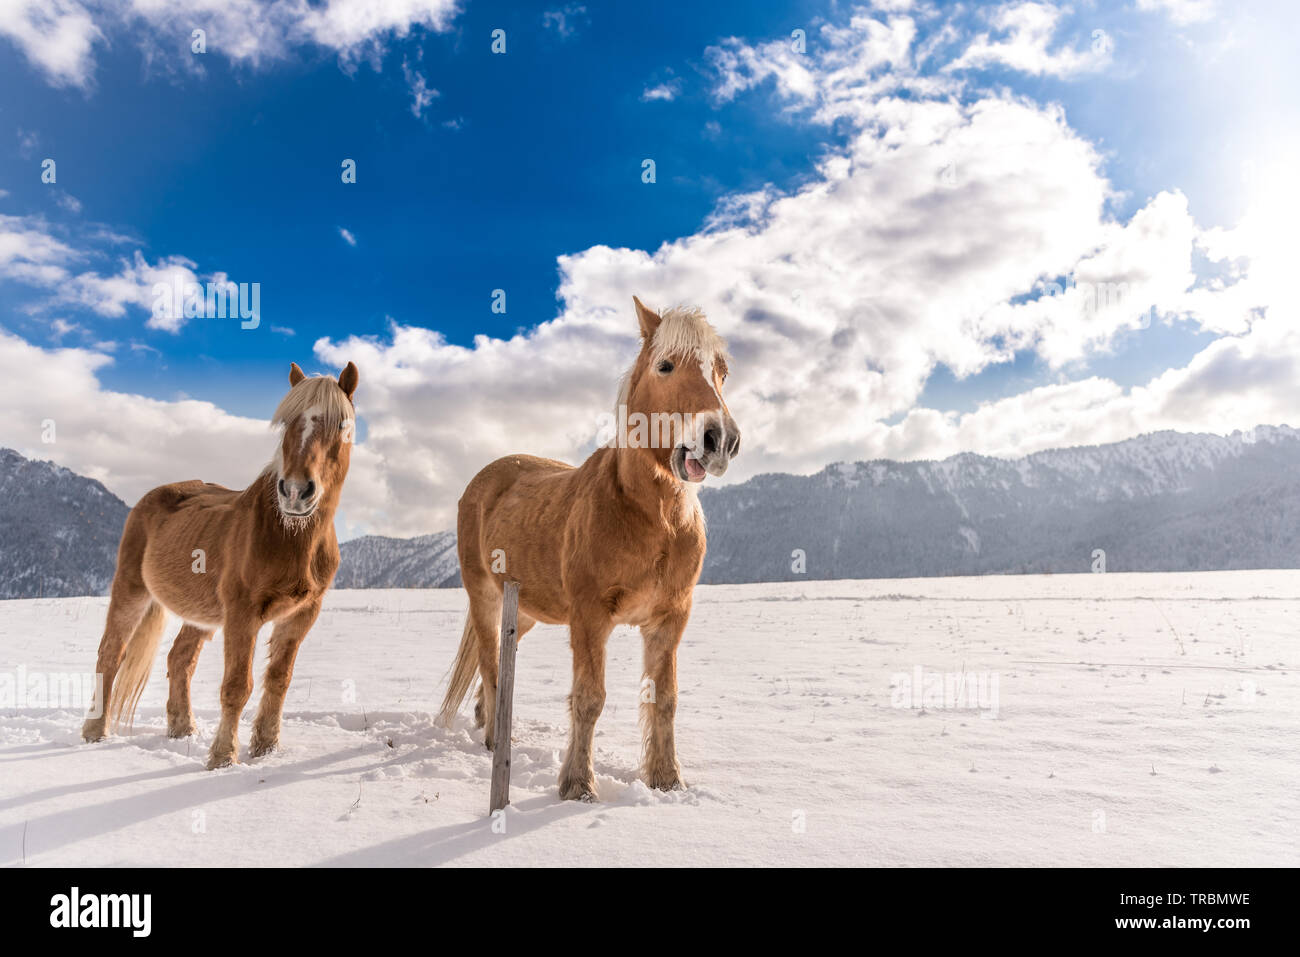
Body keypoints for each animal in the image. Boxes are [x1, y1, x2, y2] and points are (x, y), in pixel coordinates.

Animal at [81, 361, 359, 770]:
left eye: (342, 424)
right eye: (286, 422)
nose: (295, 491)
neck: (287, 533)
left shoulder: (302, 615)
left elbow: (279, 680)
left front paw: (266, 748)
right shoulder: (243, 614)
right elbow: (237, 686)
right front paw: (223, 757)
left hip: (201, 614)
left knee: (179, 659)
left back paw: (183, 728)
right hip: (132, 591)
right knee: (110, 655)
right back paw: (94, 731)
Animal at [438, 297, 741, 800]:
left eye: (721, 372)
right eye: (665, 365)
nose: (719, 440)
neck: (653, 517)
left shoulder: (669, 619)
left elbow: (665, 699)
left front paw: (666, 779)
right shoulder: (589, 618)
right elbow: (589, 699)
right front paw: (578, 785)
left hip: (524, 611)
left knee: (495, 660)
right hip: (484, 597)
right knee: (490, 662)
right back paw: (495, 739)